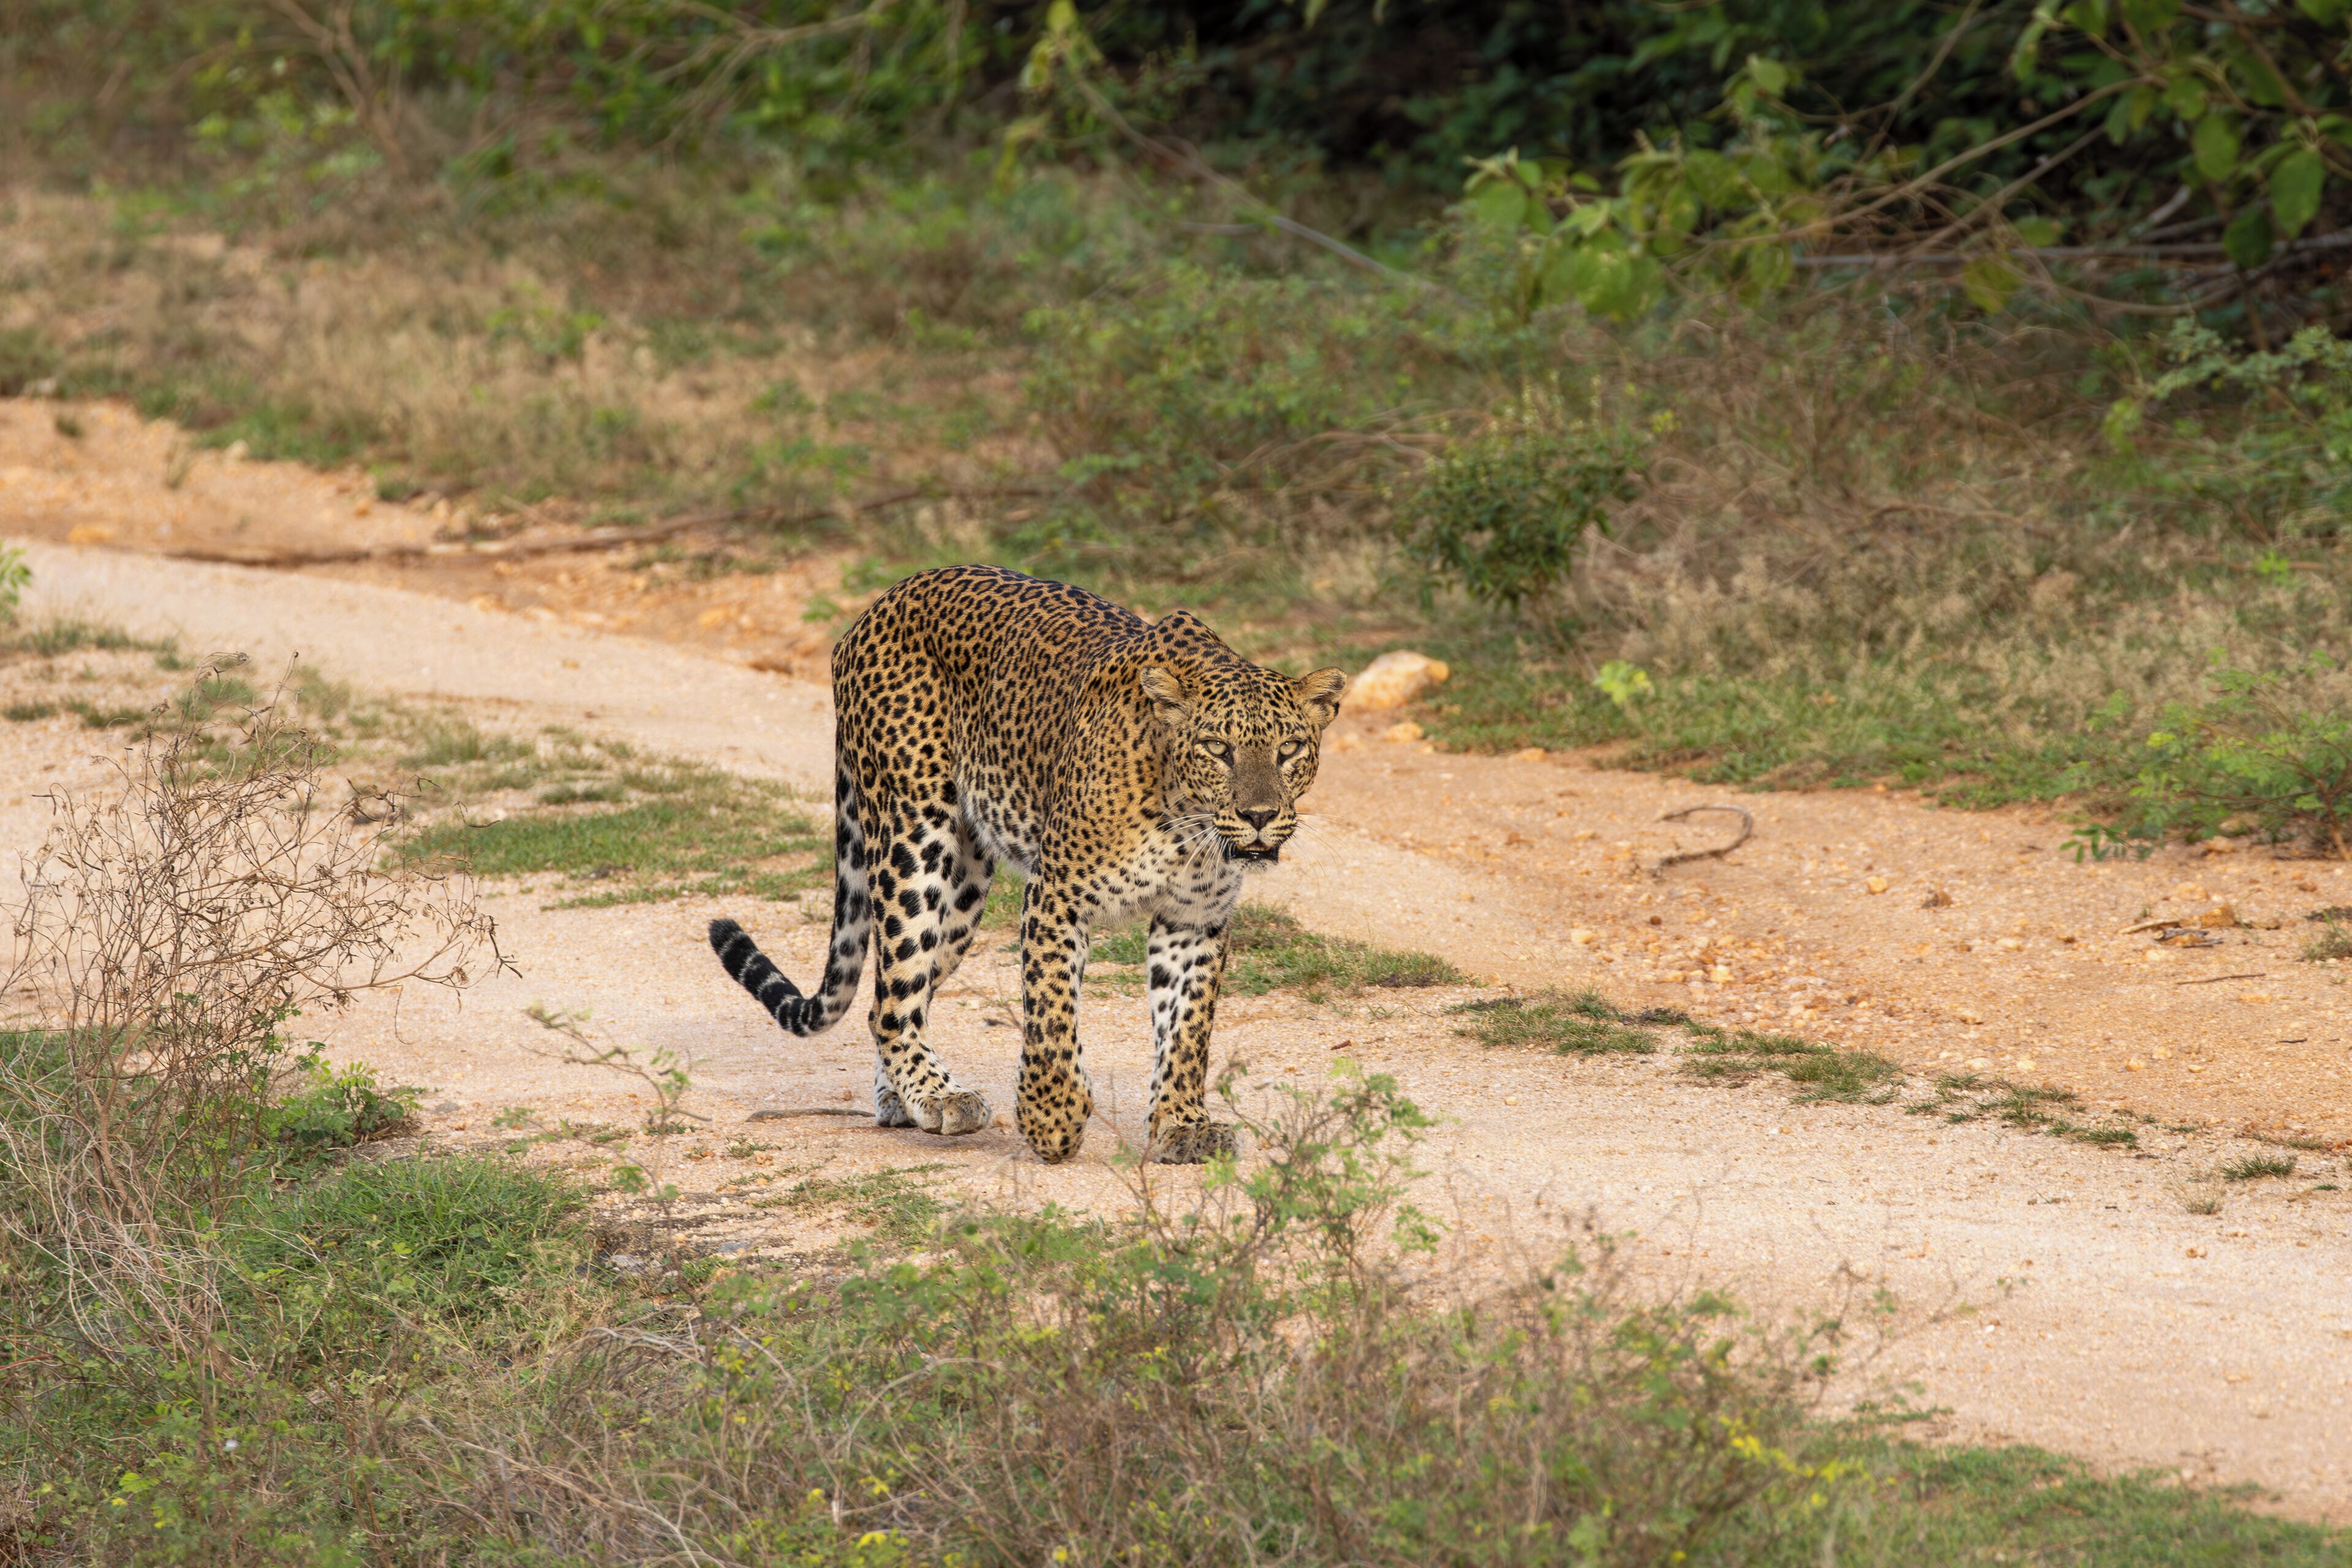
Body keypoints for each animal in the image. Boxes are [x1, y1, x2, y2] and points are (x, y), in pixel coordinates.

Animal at [708, 564, 1347, 1164]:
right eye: (1217, 749)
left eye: (1290, 749)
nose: (1260, 815)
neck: (1185, 823)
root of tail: (877, 606)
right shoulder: (1057, 895)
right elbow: (1051, 1012)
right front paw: (1052, 1118)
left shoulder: (1195, 920)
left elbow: (1187, 1032)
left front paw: (1182, 1126)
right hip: (913, 838)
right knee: (894, 996)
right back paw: (937, 1096)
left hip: (963, 894)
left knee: (888, 996)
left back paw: (900, 1099)